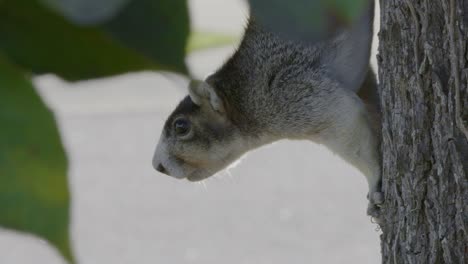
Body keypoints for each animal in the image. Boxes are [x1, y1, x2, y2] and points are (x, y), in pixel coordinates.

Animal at [154, 2, 384, 217]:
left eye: (181, 126)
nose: (157, 167)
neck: (244, 98)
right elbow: (372, 106)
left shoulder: (301, 98)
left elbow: (354, 139)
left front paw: (374, 182)